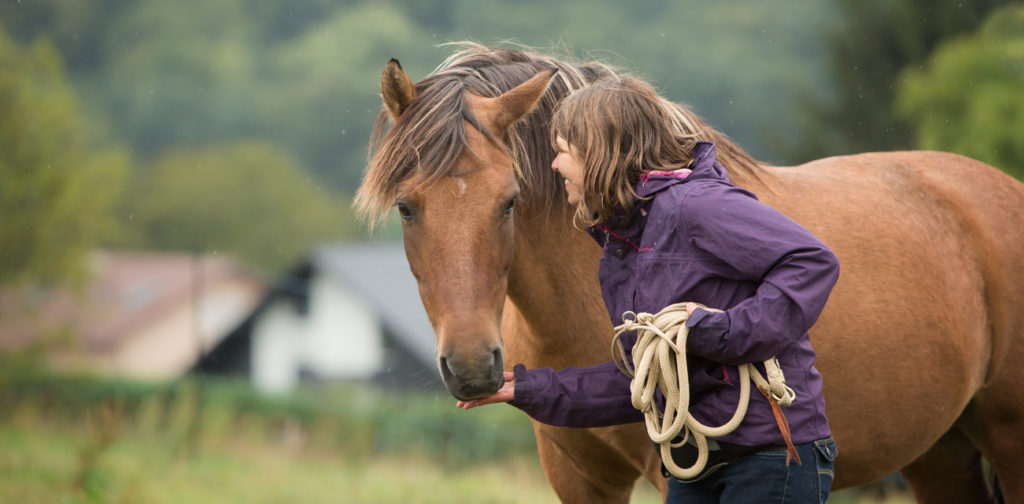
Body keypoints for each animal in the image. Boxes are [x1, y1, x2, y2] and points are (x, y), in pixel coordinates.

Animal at [358, 44, 1024, 504]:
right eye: (407, 207)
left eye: (510, 201)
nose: (473, 368)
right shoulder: (580, 478)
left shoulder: (670, 471)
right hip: (941, 451)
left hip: (1006, 438)